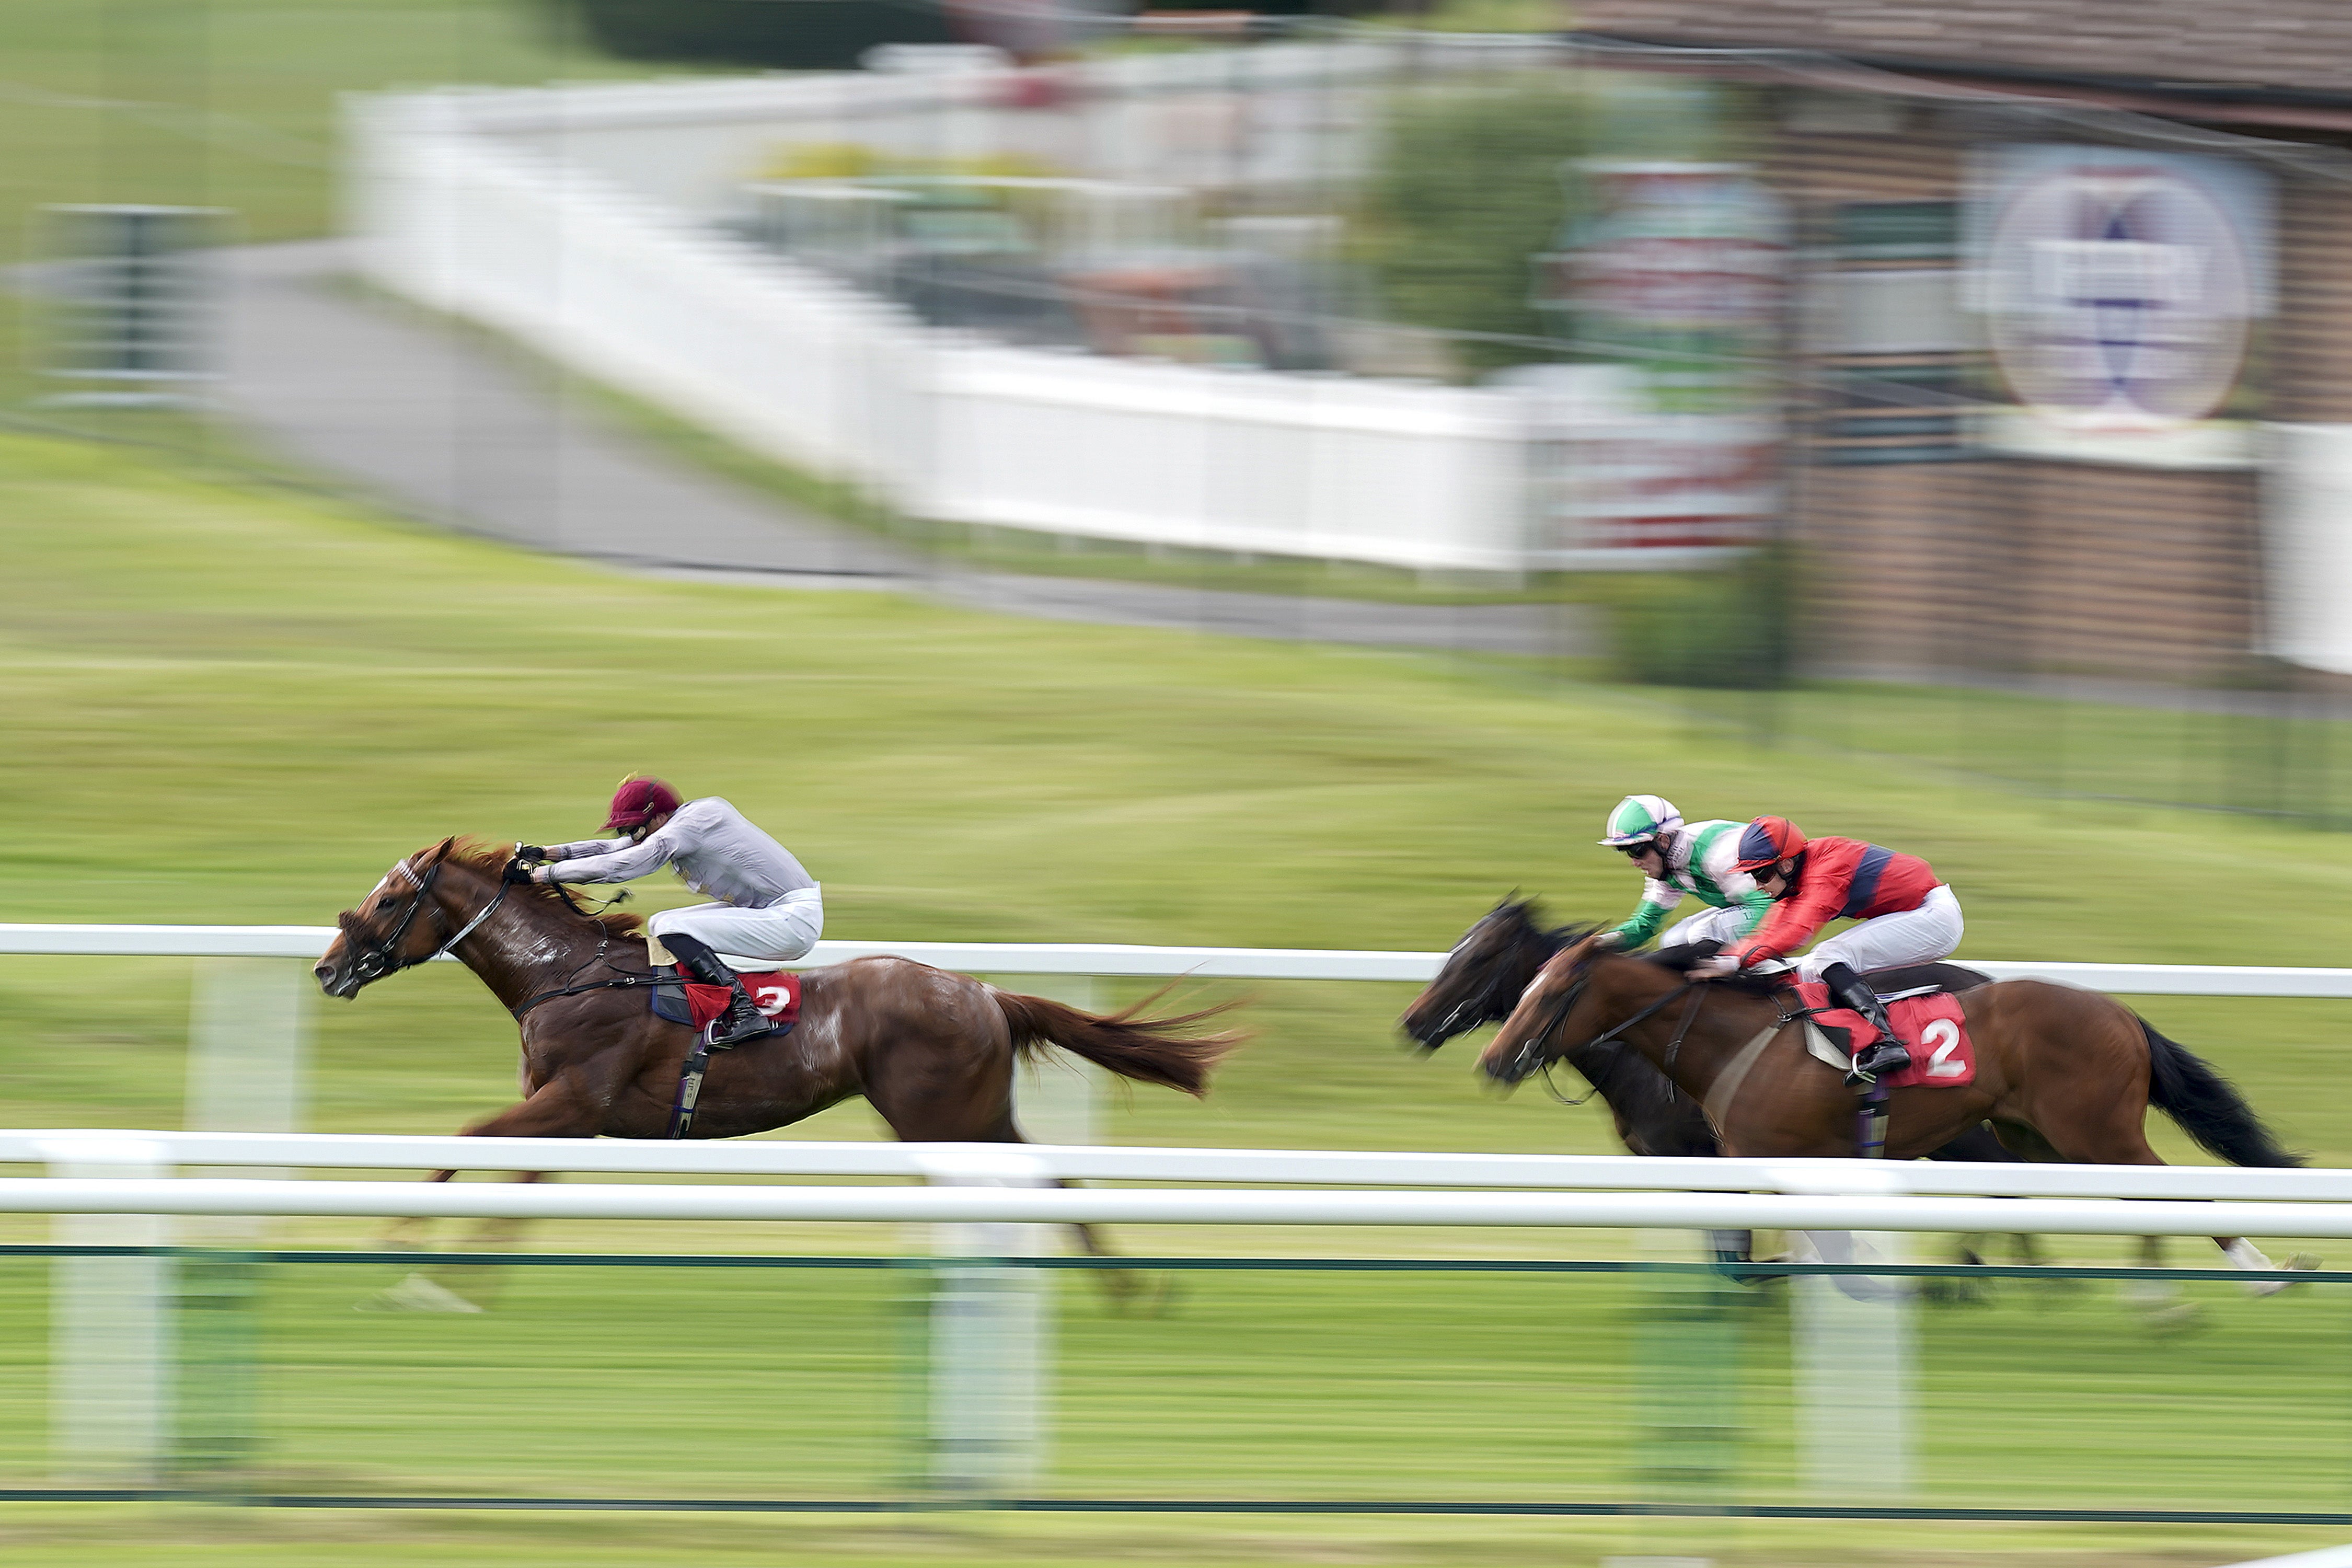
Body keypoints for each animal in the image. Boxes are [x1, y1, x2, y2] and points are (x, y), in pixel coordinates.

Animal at [313, 832, 1251, 1288]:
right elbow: (511, 1187)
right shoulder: (570, 1119)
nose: (327, 968)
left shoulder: (573, 1101)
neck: (566, 974)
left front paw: (403, 1242)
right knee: (1055, 1179)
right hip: (977, 1114)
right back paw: (1123, 1289)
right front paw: (459, 1278)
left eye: (389, 900)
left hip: (939, 1116)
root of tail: (985, 993)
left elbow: (466, 1138)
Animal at [1477, 926, 2305, 1278]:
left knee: (2169, 1189)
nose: (1492, 1062)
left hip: (2096, 1131)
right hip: (2033, 1134)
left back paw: (2257, 1267)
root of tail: (2122, 1012)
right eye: (1521, 988)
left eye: (1549, 993)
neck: (1732, 1037)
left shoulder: (1781, 1157)